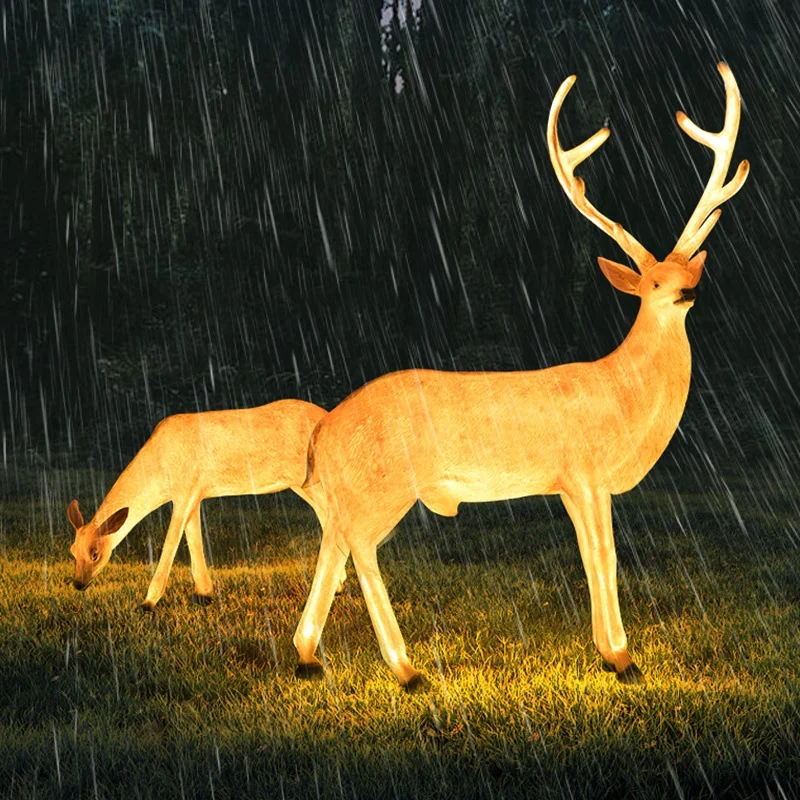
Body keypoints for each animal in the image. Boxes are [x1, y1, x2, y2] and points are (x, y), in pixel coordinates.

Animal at [67, 398, 344, 610]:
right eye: (72, 551)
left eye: (95, 553)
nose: (78, 584)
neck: (158, 469)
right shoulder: (194, 493)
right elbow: (194, 539)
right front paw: (204, 593)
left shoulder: (184, 488)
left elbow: (171, 541)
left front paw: (148, 602)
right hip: (302, 482)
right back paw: (338, 584)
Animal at [291, 63, 749, 690]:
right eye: (654, 283)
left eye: (688, 271)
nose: (687, 292)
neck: (624, 399)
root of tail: (325, 431)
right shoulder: (585, 471)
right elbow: (603, 556)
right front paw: (623, 656)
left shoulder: (571, 484)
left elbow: (590, 557)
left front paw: (607, 650)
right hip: (385, 482)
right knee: (359, 545)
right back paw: (406, 667)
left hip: (359, 488)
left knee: (333, 541)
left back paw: (308, 654)